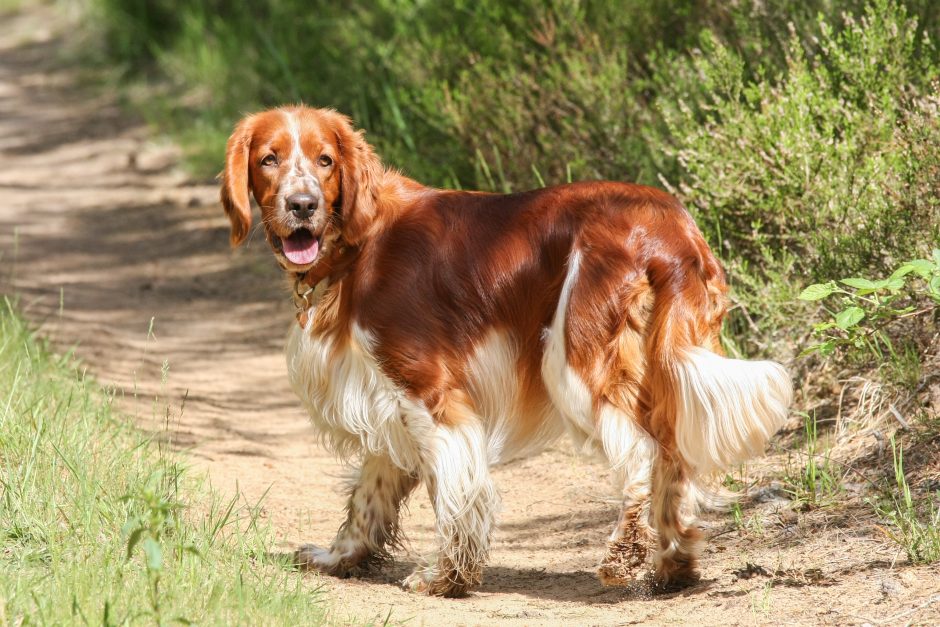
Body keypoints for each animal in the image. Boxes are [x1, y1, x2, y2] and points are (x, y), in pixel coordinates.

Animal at [220, 105, 792, 596]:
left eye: (325, 160)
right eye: (269, 158)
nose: (303, 205)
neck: (357, 244)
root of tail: (668, 228)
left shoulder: (428, 391)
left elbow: (456, 494)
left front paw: (447, 578)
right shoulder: (385, 392)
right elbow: (369, 493)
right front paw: (339, 558)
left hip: (575, 363)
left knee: (643, 453)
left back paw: (623, 557)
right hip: (666, 362)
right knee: (673, 456)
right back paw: (673, 563)